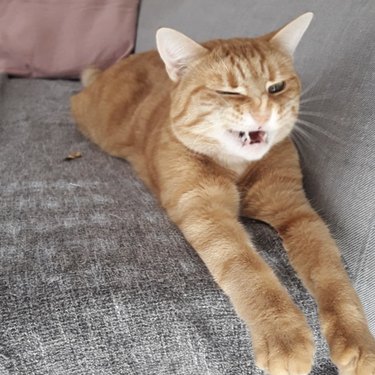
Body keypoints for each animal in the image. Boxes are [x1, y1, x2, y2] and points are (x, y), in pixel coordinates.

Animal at [70, 13, 375, 375]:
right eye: (228, 91)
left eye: (276, 87)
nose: (262, 112)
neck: (238, 167)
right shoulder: (206, 211)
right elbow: (247, 269)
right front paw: (285, 336)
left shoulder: (297, 211)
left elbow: (332, 275)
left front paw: (356, 340)